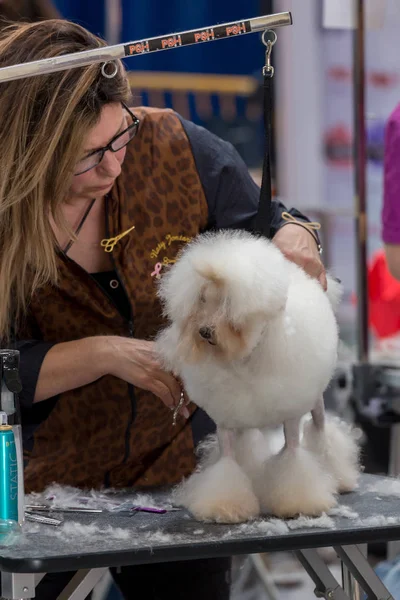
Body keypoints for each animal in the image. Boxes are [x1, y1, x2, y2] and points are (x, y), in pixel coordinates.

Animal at [155, 230, 360, 520]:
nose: (204, 332)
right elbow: (228, 463)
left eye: (228, 306)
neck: (243, 360)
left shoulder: (290, 417)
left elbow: (293, 456)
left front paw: (298, 503)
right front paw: (223, 506)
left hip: (316, 405)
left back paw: (339, 478)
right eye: (203, 300)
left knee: (322, 434)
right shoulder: (226, 422)